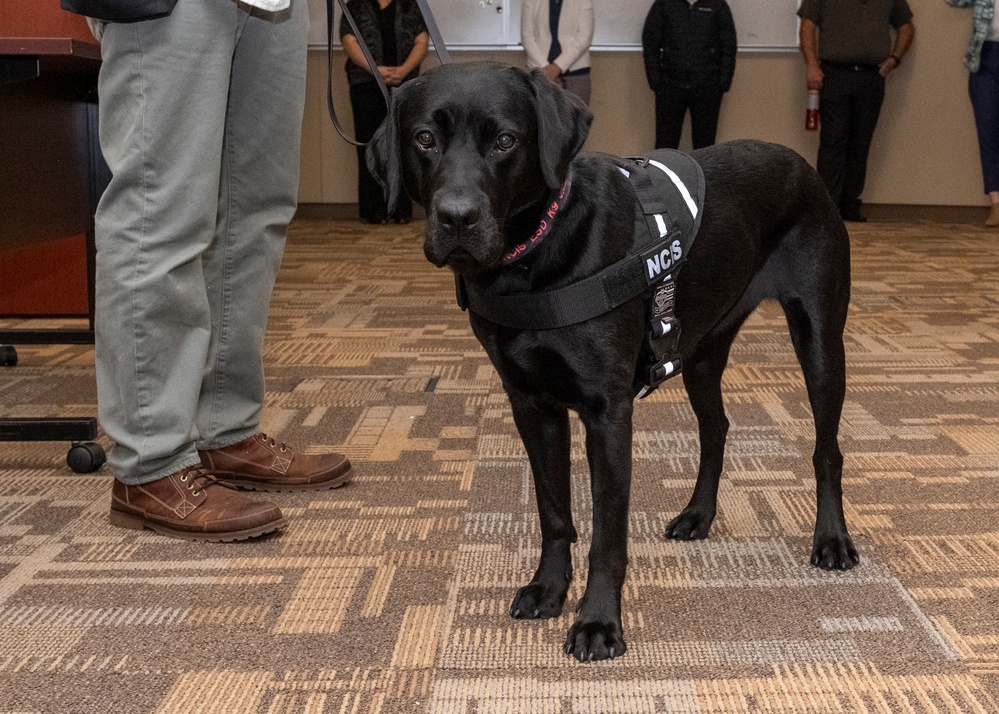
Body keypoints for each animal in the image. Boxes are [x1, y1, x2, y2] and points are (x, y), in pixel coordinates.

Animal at [368, 61, 860, 660]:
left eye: (505, 141)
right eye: (424, 139)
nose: (457, 218)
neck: (534, 259)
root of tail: (802, 164)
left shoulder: (607, 413)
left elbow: (607, 532)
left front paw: (598, 621)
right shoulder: (533, 407)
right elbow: (554, 512)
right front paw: (548, 589)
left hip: (820, 342)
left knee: (826, 451)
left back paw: (832, 539)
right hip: (700, 352)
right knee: (716, 428)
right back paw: (698, 515)